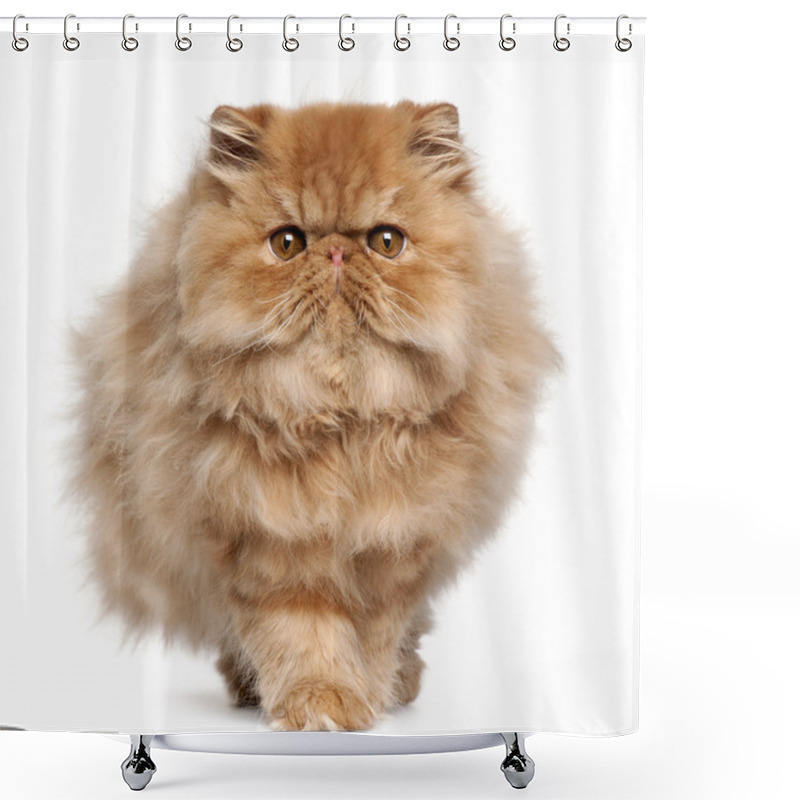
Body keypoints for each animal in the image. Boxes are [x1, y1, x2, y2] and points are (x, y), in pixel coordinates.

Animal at [73, 101, 556, 732]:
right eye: (287, 243)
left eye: (386, 241)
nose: (335, 252)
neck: (339, 422)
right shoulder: (266, 542)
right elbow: (302, 637)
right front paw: (319, 704)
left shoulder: (395, 550)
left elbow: (375, 636)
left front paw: (366, 700)